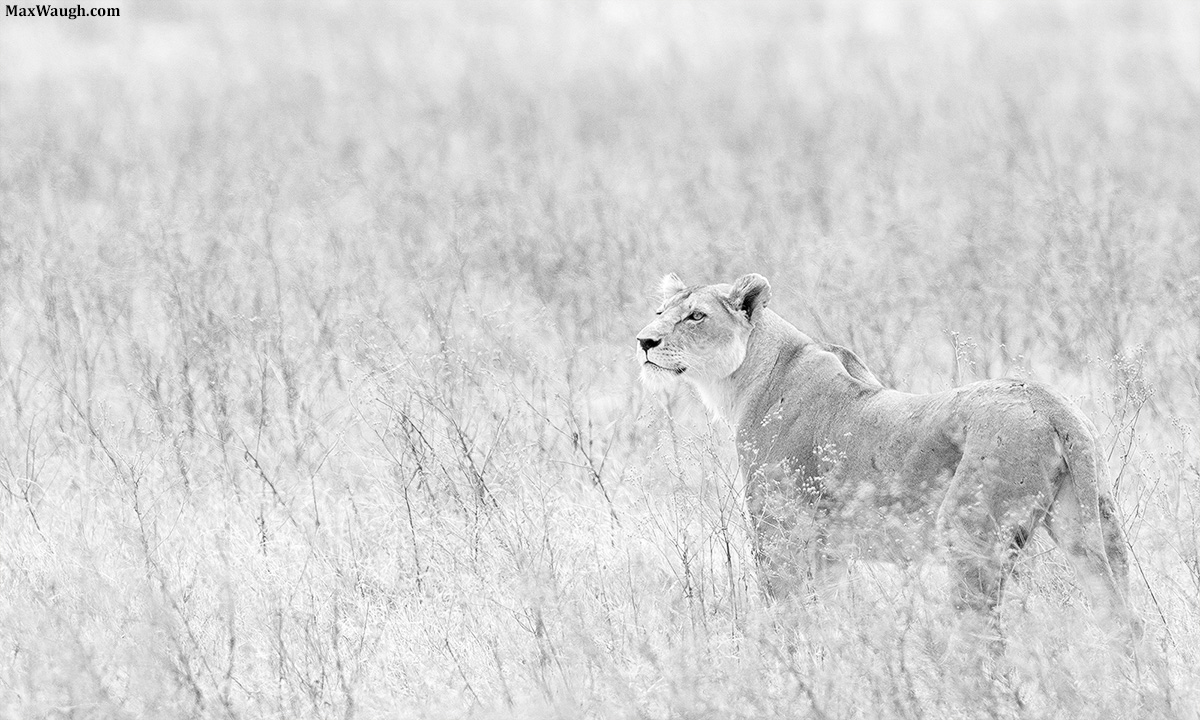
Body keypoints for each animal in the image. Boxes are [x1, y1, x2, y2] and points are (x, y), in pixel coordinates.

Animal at [637, 272, 1140, 643]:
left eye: (696, 316)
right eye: (661, 313)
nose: (644, 342)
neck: (749, 377)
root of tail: (1051, 405)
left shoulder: (779, 527)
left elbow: (784, 608)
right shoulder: (829, 547)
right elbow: (822, 612)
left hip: (970, 535)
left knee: (983, 632)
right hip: (1092, 524)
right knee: (1123, 616)